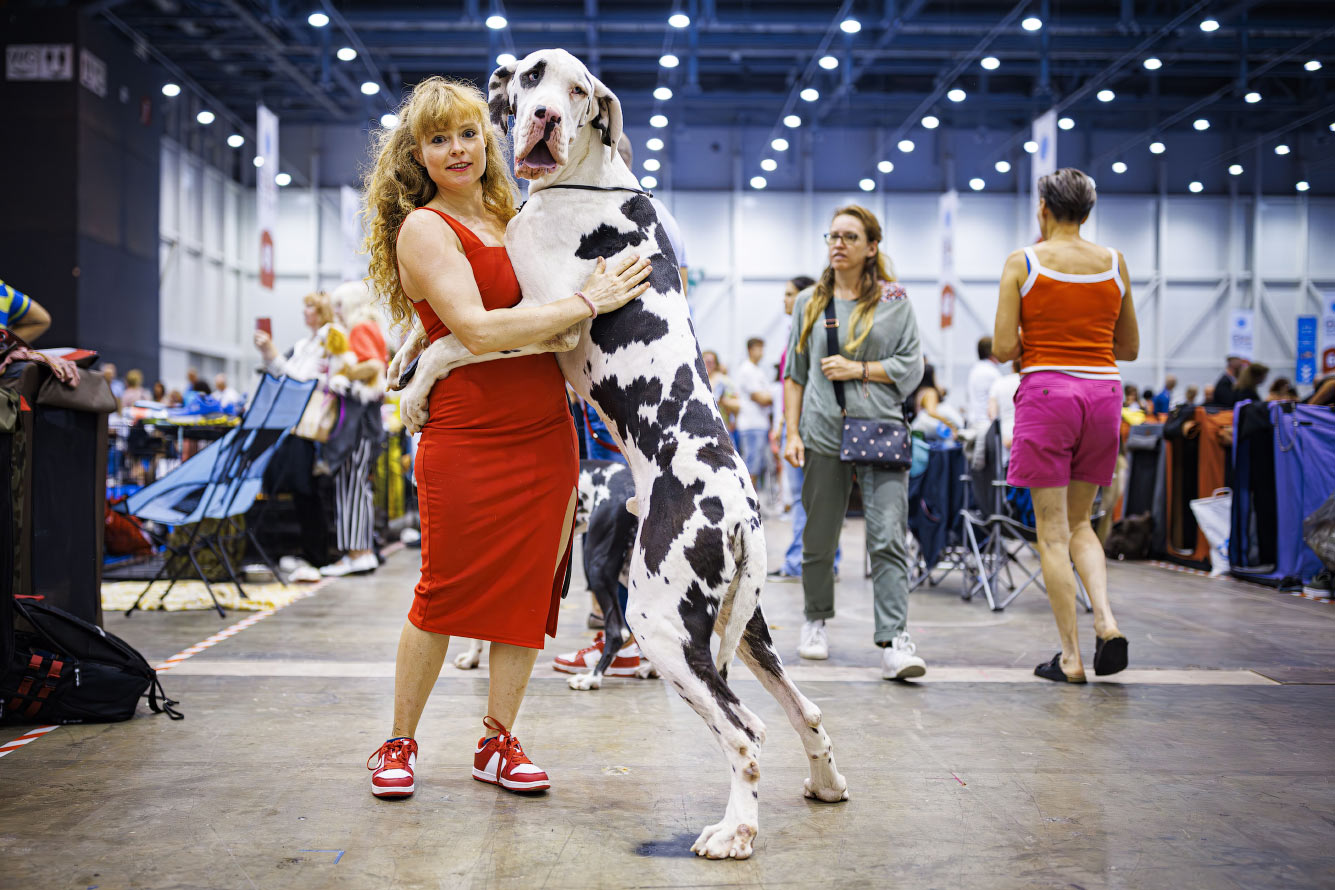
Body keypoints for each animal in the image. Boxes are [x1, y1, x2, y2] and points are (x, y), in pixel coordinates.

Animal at [387, 50, 843, 864]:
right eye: (532, 78)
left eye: (576, 91)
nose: (542, 116)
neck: (584, 185)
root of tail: (744, 512)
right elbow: (434, 325)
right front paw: (400, 356)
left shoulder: (549, 323)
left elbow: (455, 340)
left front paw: (414, 393)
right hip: (739, 624)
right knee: (804, 711)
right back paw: (824, 784)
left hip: (662, 622)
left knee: (745, 731)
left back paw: (734, 831)